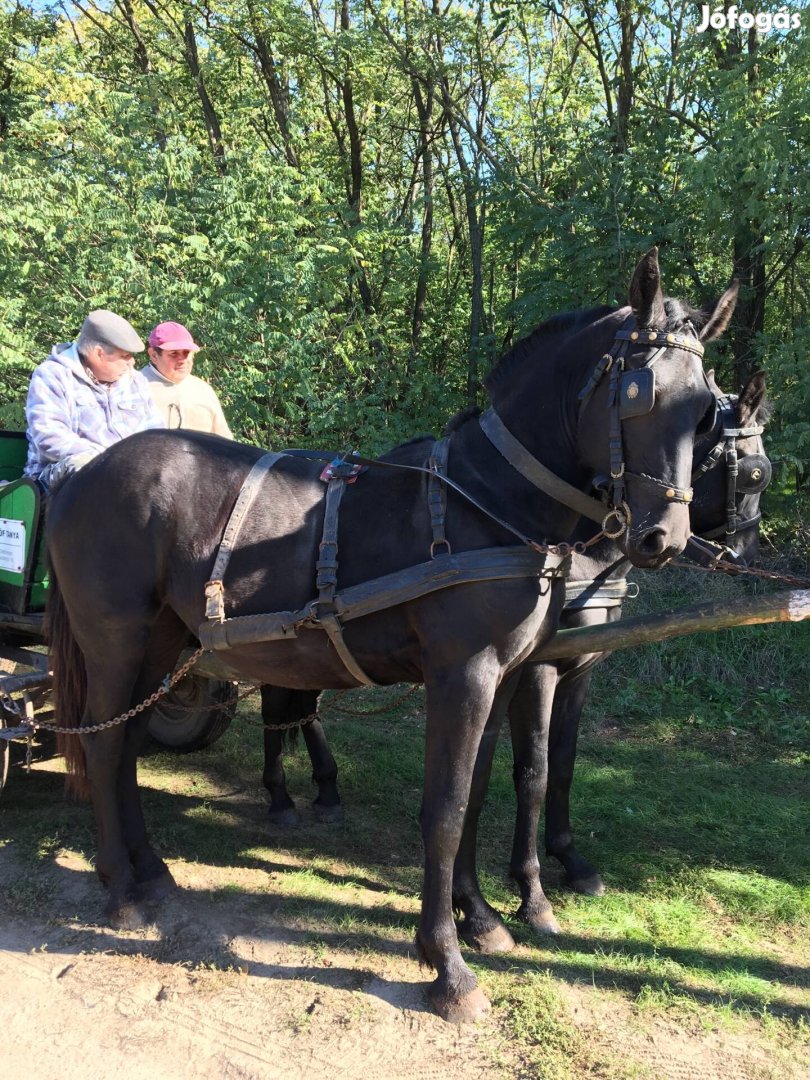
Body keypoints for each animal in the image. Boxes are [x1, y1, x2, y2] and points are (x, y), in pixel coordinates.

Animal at [47, 250, 721, 1019]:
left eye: (706, 410)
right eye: (639, 393)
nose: (664, 538)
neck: (487, 503)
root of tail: (82, 474)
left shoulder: (507, 675)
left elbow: (481, 790)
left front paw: (480, 917)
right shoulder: (464, 673)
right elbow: (447, 808)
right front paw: (447, 964)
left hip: (165, 643)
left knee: (127, 744)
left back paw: (151, 871)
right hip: (116, 642)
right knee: (104, 746)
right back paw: (121, 890)